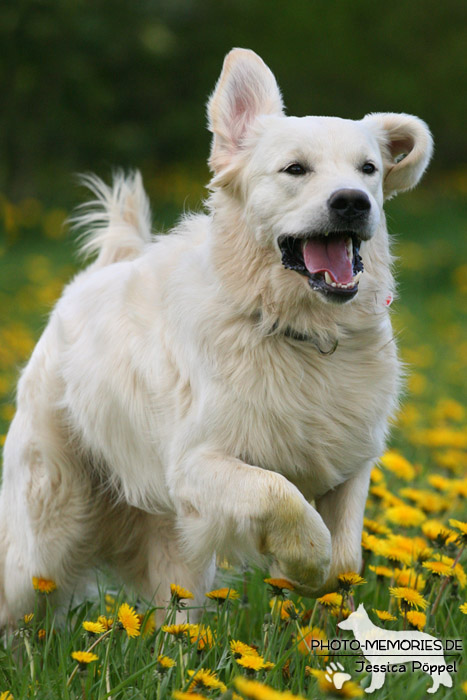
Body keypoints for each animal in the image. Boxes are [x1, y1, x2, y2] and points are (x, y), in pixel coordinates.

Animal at [0, 46, 434, 620]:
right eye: (295, 169)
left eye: (369, 170)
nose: (353, 202)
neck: (297, 333)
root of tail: (87, 281)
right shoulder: (196, 465)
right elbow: (281, 495)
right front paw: (301, 562)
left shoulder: (352, 462)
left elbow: (346, 558)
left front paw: (311, 578)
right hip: (46, 532)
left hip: (176, 553)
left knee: (175, 620)